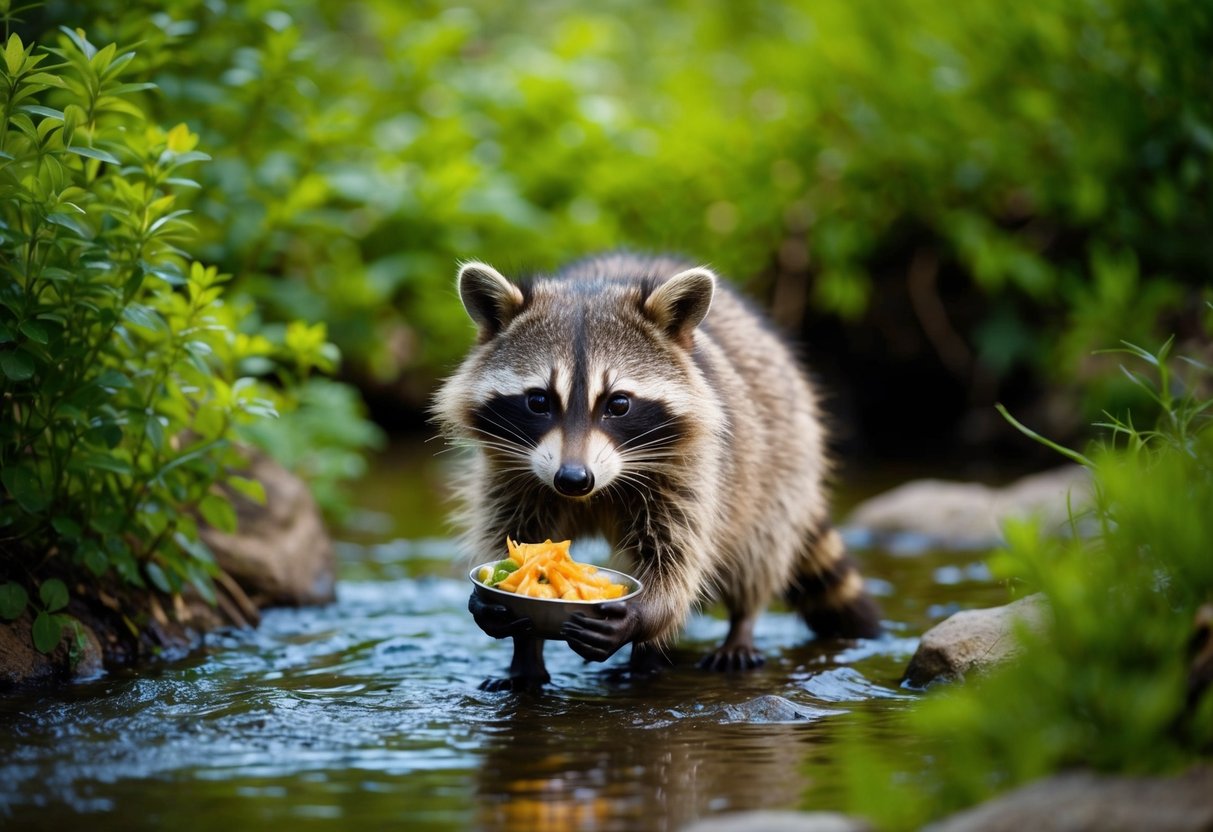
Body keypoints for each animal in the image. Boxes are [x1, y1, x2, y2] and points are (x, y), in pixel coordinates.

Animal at [433, 252, 881, 689]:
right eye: (539, 401)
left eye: (618, 403)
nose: (573, 479)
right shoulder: (509, 470)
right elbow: (512, 531)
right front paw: (519, 640)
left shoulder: (693, 467)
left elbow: (678, 560)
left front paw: (644, 616)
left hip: (782, 460)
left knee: (758, 549)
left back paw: (731, 629)